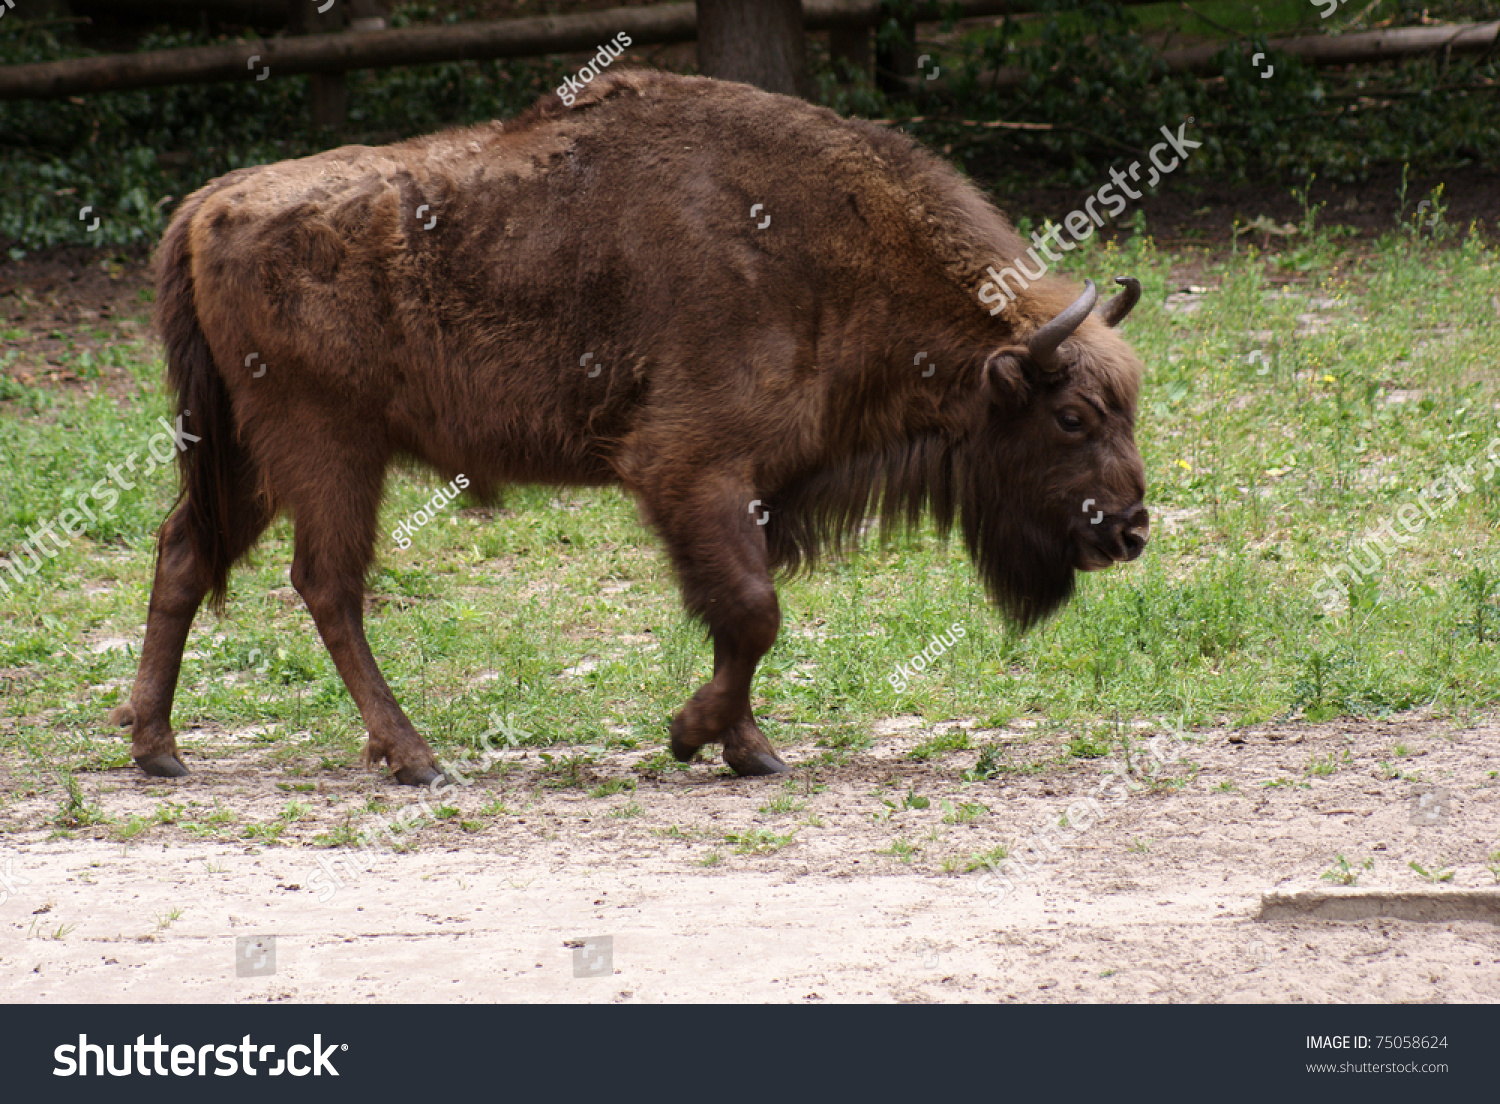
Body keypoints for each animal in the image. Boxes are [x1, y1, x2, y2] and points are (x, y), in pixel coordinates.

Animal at [114, 66, 1146, 786]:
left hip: (250, 455)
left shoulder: (747, 491)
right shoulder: (688, 471)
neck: (831, 254)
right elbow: (753, 612)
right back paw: (416, 759)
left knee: (185, 551)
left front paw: (748, 749)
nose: (1131, 529)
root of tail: (210, 203)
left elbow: (741, 619)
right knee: (327, 585)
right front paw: (695, 737)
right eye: (1071, 416)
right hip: (327, 450)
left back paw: (159, 749)